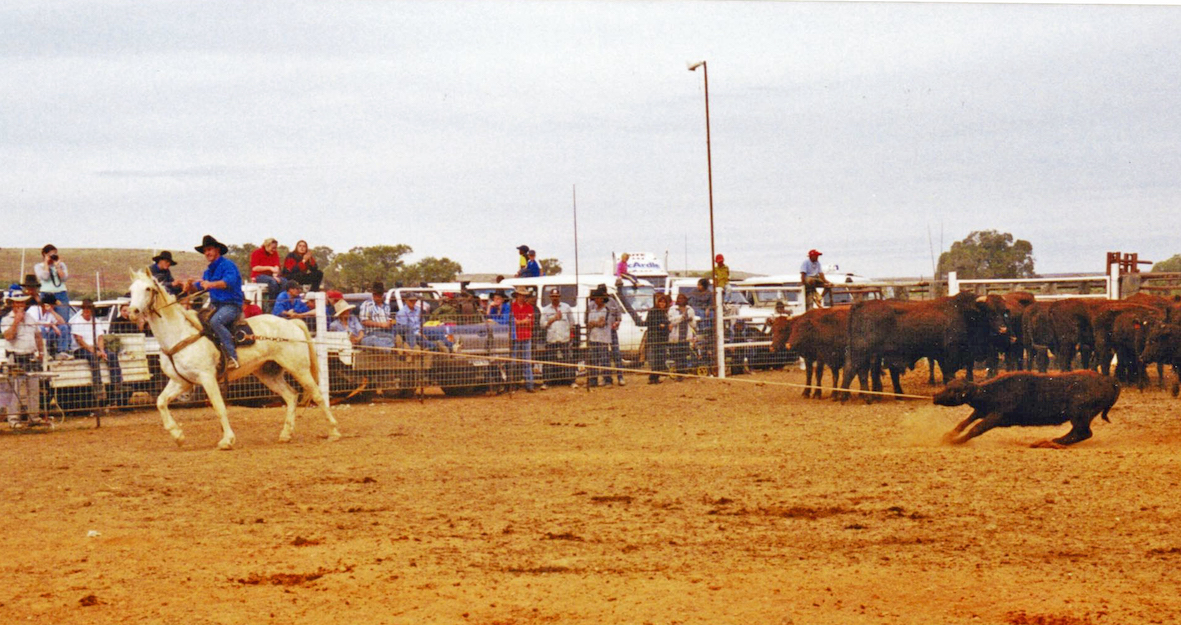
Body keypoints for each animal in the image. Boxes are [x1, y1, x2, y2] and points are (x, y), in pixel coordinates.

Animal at [126, 270, 340, 449]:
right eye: (131, 290)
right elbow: (161, 402)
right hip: (268, 373)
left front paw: (227, 440)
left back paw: (334, 432)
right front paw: (178, 435)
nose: (132, 312)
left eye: (148, 288)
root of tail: (292, 323)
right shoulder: (181, 381)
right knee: (291, 396)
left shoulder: (207, 378)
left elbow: (219, 407)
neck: (180, 334)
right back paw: (286, 434)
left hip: (299, 368)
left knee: (318, 395)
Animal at [840, 292, 1010, 402]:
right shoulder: (951, 353)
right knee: (855, 370)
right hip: (862, 351)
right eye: (990, 312)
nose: (1003, 329)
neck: (965, 313)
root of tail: (862, 304)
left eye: (1003, 312)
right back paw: (855, 396)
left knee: (859, 371)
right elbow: (949, 374)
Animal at [933, 371, 1120, 447]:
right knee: (1077, 433)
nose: (935, 396)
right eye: (948, 386)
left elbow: (976, 428)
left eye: (951, 390)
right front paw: (949, 435)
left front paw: (955, 441)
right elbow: (964, 422)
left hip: (1080, 415)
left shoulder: (997, 416)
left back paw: (1049, 442)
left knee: (1083, 433)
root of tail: (1109, 380)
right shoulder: (982, 410)